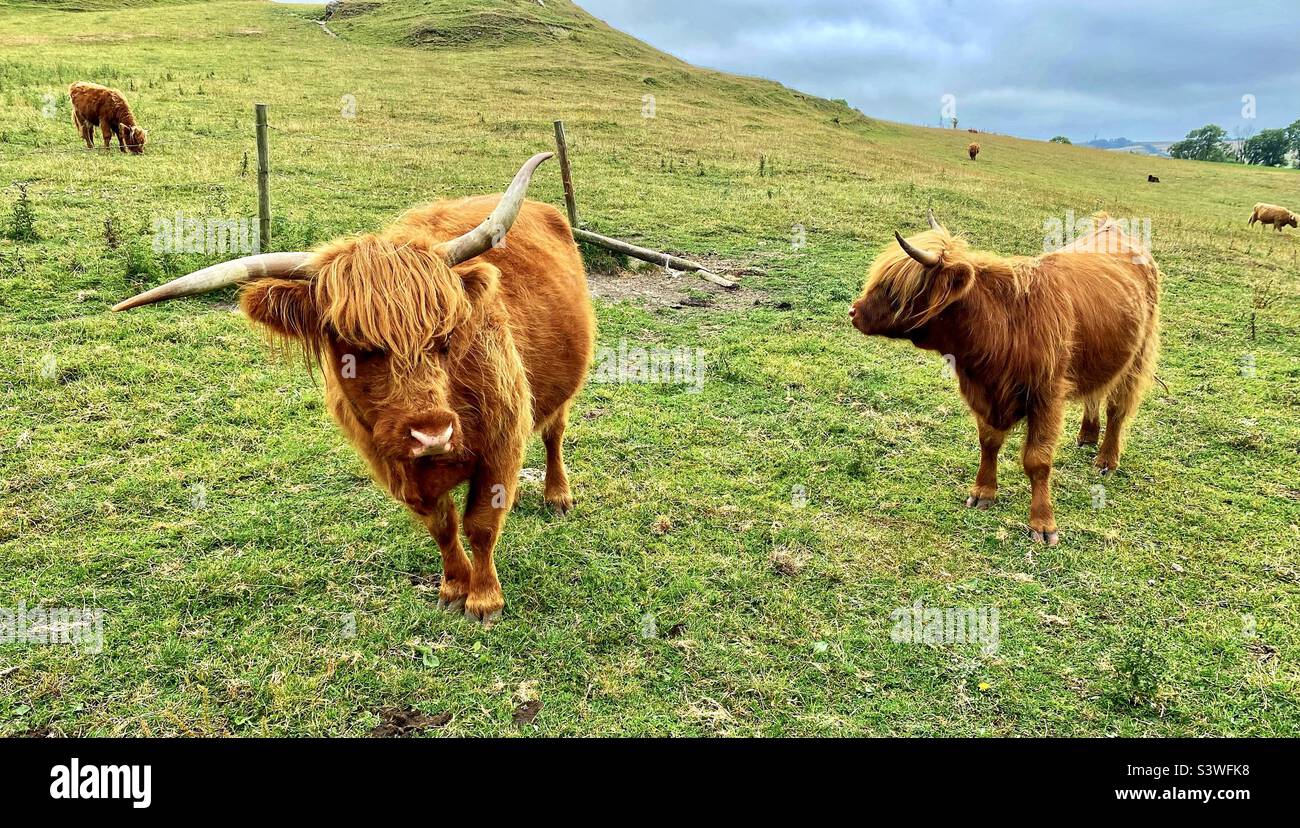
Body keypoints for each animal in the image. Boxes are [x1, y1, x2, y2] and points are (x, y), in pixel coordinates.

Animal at [113, 153, 595, 624]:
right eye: (354, 346)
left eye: (444, 338)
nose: (432, 433)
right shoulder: (393, 464)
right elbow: (442, 526)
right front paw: (453, 589)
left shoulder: (501, 443)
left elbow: (481, 523)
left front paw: (485, 601)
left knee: (554, 433)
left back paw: (557, 496)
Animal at [848, 210, 1160, 546]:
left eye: (894, 289)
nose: (853, 312)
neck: (1003, 324)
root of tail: (1112, 227)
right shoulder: (983, 391)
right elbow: (988, 442)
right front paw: (983, 491)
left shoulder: (1047, 396)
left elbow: (1037, 460)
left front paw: (1043, 523)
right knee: (1095, 393)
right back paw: (1087, 434)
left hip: (1137, 356)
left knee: (1118, 408)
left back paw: (1106, 460)